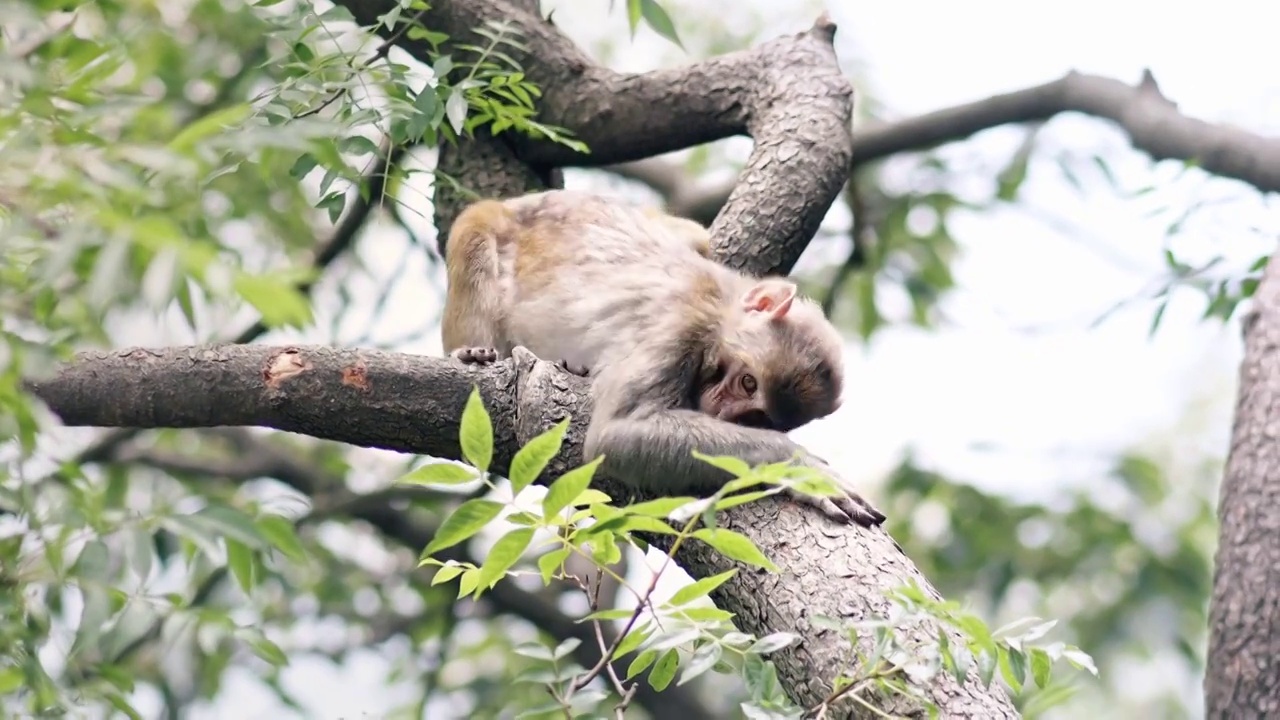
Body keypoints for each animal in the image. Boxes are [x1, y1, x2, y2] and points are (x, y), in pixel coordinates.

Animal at [440, 190, 890, 525]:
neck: (719, 307)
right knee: (475, 228)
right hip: (496, 227)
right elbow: (616, 435)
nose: (721, 410)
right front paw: (800, 467)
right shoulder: (677, 329)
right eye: (748, 382)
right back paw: (474, 349)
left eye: (757, 417)